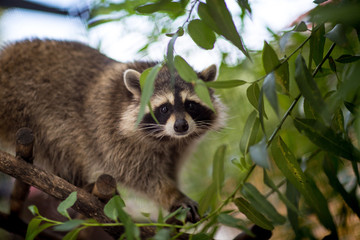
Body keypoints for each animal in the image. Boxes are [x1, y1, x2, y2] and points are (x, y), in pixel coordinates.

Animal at [0, 39, 225, 221]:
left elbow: (170, 167)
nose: (181, 126)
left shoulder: (179, 147)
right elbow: (137, 174)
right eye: (164, 108)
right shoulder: (110, 129)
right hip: (25, 109)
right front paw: (171, 193)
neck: (167, 138)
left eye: (191, 105)